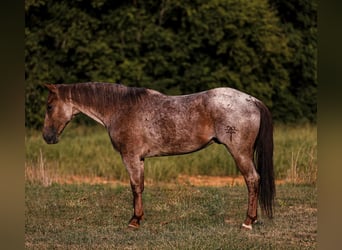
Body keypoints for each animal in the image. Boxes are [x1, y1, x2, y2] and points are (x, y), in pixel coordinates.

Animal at [42, 81, 276, 229]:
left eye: (49, 106)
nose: (47, 137)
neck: (121, 109)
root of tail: (251, 100)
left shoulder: (130, 157)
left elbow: (135, 187)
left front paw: (134, 221)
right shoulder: (140, 159)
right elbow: (140, 186)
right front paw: (139, 218)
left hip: (240, 152)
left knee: (252, 179)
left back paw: (248, 221)